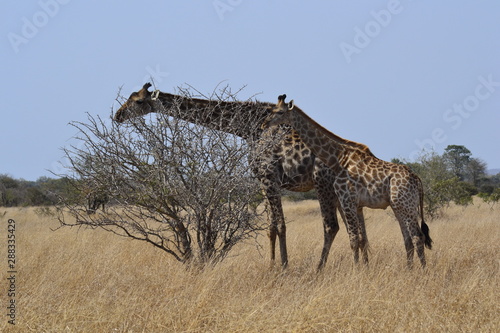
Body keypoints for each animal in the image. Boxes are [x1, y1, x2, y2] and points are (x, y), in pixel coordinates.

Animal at [113, 82, 342, 268]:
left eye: (138, 100)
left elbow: (280, 225)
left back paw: (319, 268)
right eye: (129, 96)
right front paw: (271, 267)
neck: (250, 127)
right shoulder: (263, 181)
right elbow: (270, 227)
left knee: (331, 226)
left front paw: (284, 268)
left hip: (323, 184)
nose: (117, 115)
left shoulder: (269, 177)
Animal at [264, 93, 432, 268]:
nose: (264, 124)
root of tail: (417, 179)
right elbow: (359, 238)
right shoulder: (355, 204)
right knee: (407, 239)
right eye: (270, 110)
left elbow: (353, 239)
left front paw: (356, 269)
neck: (337, 159)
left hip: (406, 206)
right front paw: (361, 268)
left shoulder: (347, 200)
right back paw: (409, 269)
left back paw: (422, 270)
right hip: (398, 207)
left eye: (279, 112)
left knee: (417, 237)